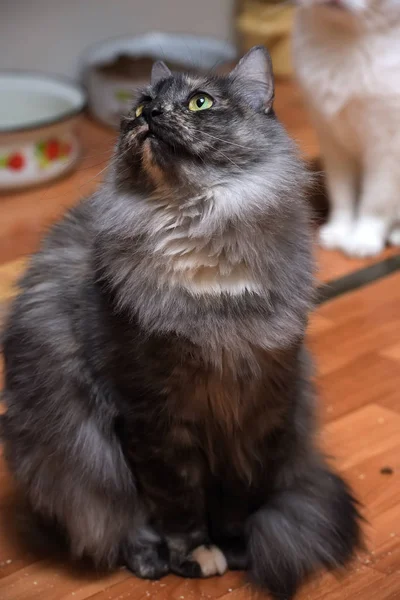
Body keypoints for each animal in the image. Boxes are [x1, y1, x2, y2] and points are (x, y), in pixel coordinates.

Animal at [0, 48, 360, 600]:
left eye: (199, 102)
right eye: (140, 105)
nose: (148, 115)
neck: (199, 227)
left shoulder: (257, 408)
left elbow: (239, 497)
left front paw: (234, 548)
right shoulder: (152, 417)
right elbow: (175, 503)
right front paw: (193, 555)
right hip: (74, 458)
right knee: (114, 521)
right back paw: (149, 560)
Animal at [292, 0, 400, 255]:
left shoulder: (386, 146)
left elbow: (375, 199)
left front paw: (363, 238)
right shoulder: (333, 143)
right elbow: (342, 193)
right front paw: (340, 230)